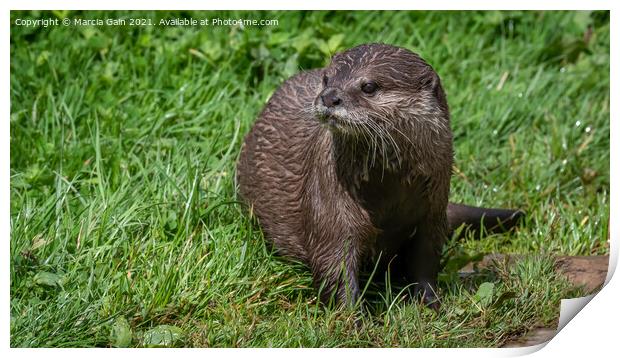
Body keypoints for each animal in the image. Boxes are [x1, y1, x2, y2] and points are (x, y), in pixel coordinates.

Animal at [237, 43, 524, 310]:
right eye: (327, 79)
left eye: (369, 86)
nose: (329, 97)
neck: (389, 194)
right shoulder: (331, 207)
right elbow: (335, 263)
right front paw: (352, 318)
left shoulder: (432, 214)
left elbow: (426, 261)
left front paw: (431, 302)